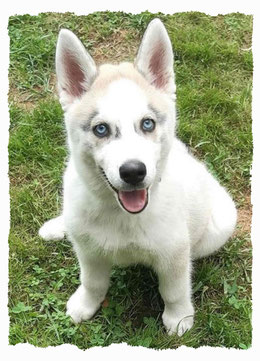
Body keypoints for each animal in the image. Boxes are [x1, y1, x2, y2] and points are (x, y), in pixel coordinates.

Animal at [39, 19, 238, 334]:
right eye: (101, 129)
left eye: (147, 124)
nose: (133, 171)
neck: (121, 216)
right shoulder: (89, 252)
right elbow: (92, 282)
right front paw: (86, 304)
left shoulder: (173, 253)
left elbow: (174, 289)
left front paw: (179, 317)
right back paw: (57, 227)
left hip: (221, 222)